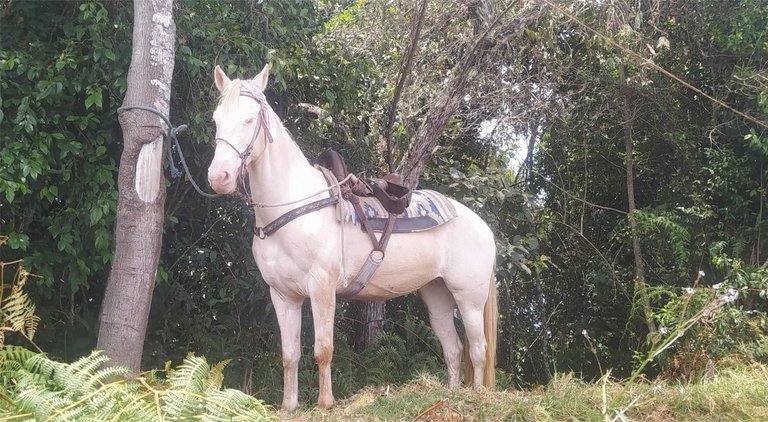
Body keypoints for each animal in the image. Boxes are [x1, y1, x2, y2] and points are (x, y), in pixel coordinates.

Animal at [207, 64, 498, 410]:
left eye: (250, 119)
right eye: (216, 119)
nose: (219, 177)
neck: (295, 206)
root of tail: (482, 226)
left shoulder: (322, 287)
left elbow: (323, 349)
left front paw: (325, 404)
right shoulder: (283, 295)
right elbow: (290, 354)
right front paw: (289, 406)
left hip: (469, 298)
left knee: (478, 349)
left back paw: (477, 398)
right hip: (436, 295)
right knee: (453, 348)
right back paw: (451, 398)